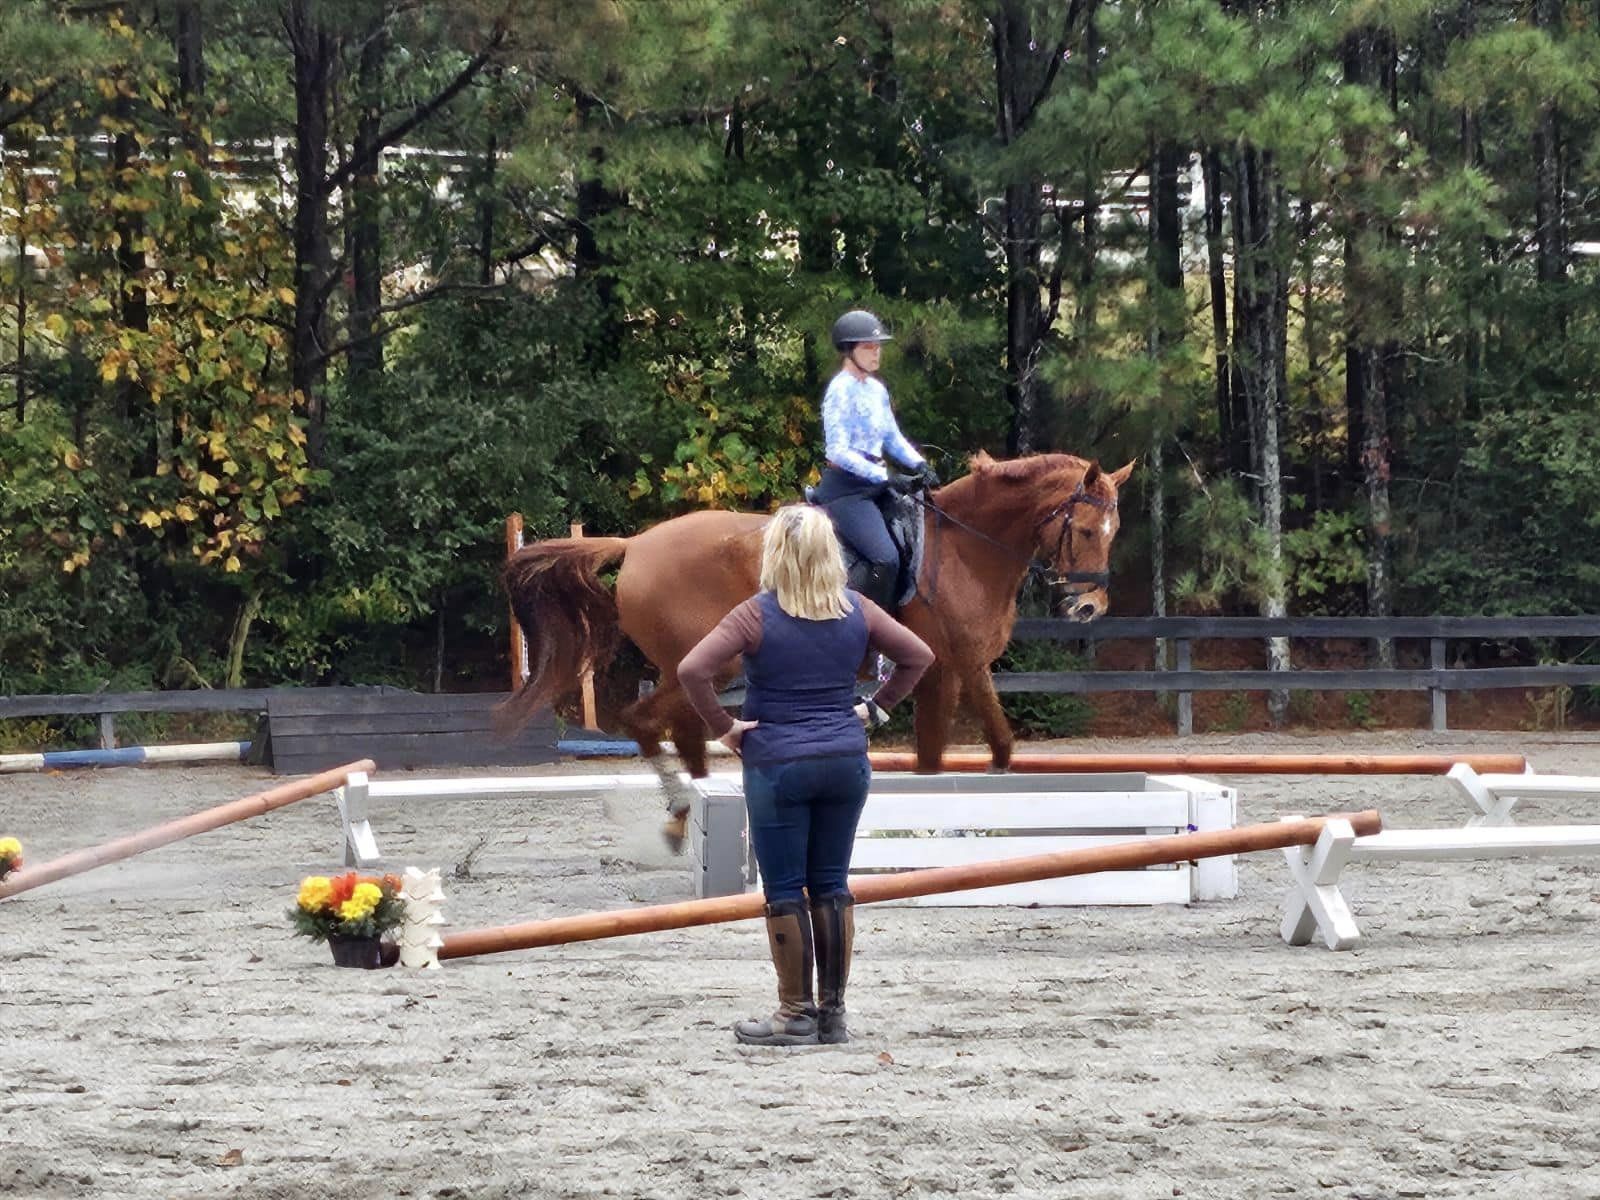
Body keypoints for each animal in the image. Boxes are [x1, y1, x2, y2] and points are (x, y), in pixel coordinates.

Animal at [499, 451, 1134, 834]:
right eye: (1083, 530)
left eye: (1114, 533)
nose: (1089, 609)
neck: (966, 550)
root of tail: (637, 544)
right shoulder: (954, 668)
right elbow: (968, 753)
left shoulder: (957, 670)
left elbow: (967, 752)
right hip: (706, 666)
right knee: (648, 722)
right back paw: (687, 810)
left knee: (682, 733)